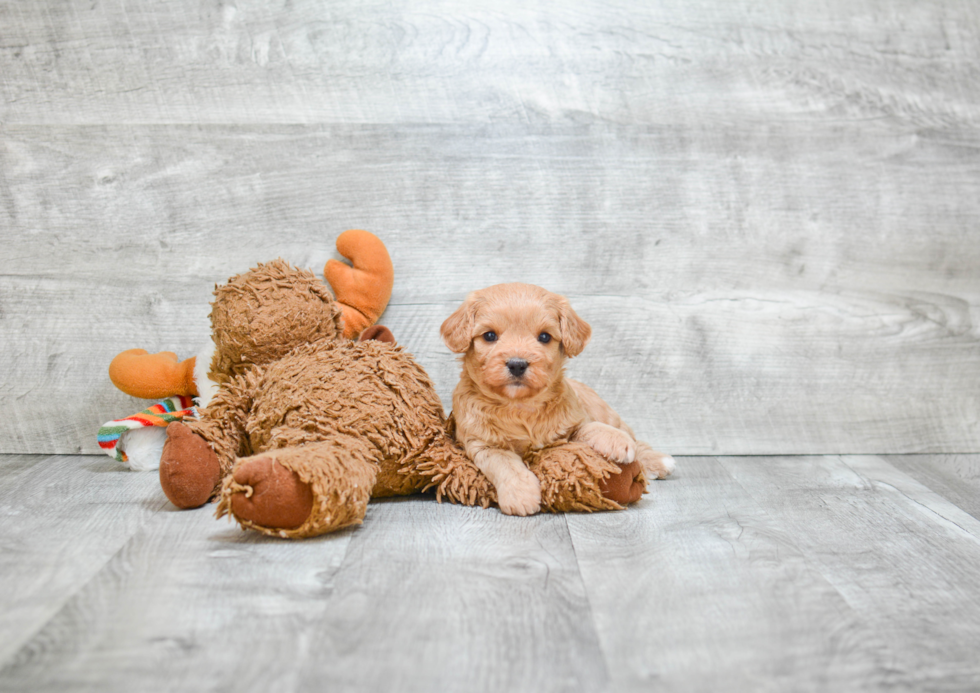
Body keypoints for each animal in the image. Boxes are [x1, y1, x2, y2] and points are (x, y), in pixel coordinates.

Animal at [438, 282, 672, 512]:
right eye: (489, 336)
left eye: (544, 337)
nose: (517, 364)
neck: (520, 406)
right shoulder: (480, 443)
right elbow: (503, 462)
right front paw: (521, 494)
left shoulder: (573, 423)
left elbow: (590, 427)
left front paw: (616, 440)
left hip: (609, 414)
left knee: (635, 440)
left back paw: (657, 460)